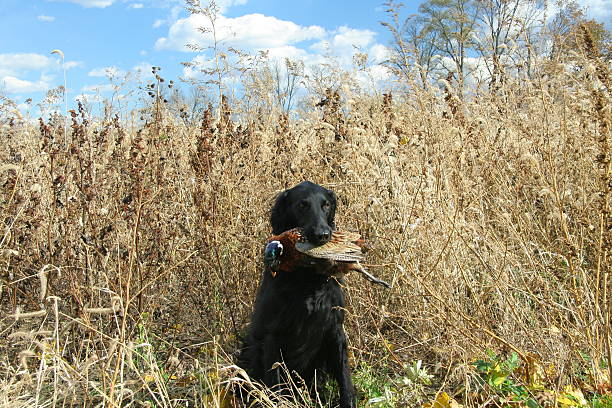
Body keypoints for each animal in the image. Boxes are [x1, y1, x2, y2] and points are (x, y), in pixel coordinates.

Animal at [237, 182, 356, 408]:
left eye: (326, 205)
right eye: (302, 205)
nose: (323, 235)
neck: (307, 278)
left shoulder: (335, 329)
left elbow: (345, 379)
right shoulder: (273, 335)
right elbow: (275, 385)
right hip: (249, 350)